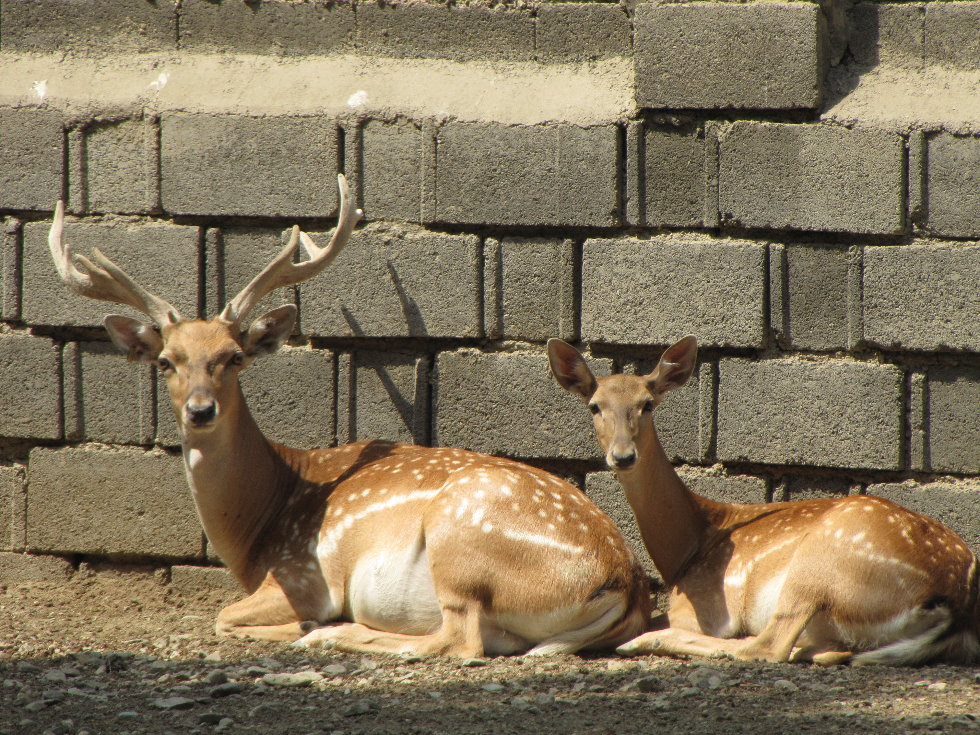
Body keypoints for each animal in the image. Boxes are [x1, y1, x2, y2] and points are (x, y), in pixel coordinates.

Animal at [46, 175, 650, 658]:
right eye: (167, 361)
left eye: (234, 356)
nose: (200, 409)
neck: (258, 527)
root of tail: (624, 581)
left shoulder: (303, 572)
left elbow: (224, 617)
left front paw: (304, 625)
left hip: (460, 536)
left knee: (460, 641)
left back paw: (330, 632)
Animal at [548, 336, 980, 666]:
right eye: (595, 406)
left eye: (647, 403)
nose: (623, 456)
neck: (689, 545)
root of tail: (955, 599)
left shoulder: (701, 608)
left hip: (820, 562)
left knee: (769, 645)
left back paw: (643, 642)